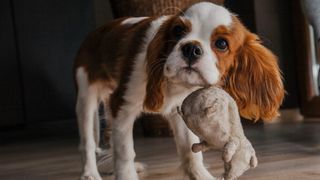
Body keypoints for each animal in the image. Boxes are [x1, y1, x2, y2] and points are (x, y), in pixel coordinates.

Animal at [74, 1, 284, 180]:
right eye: (178, 30)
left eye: (222, 43)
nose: (191, 48)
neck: (176, 85)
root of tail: (94, 33)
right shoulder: (123, 105)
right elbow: (125, 150)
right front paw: (126, 174)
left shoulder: (181, 110)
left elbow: (190, 151)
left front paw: (201, 176)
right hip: (86, 97)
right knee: (87, 143)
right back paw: (90, 173)